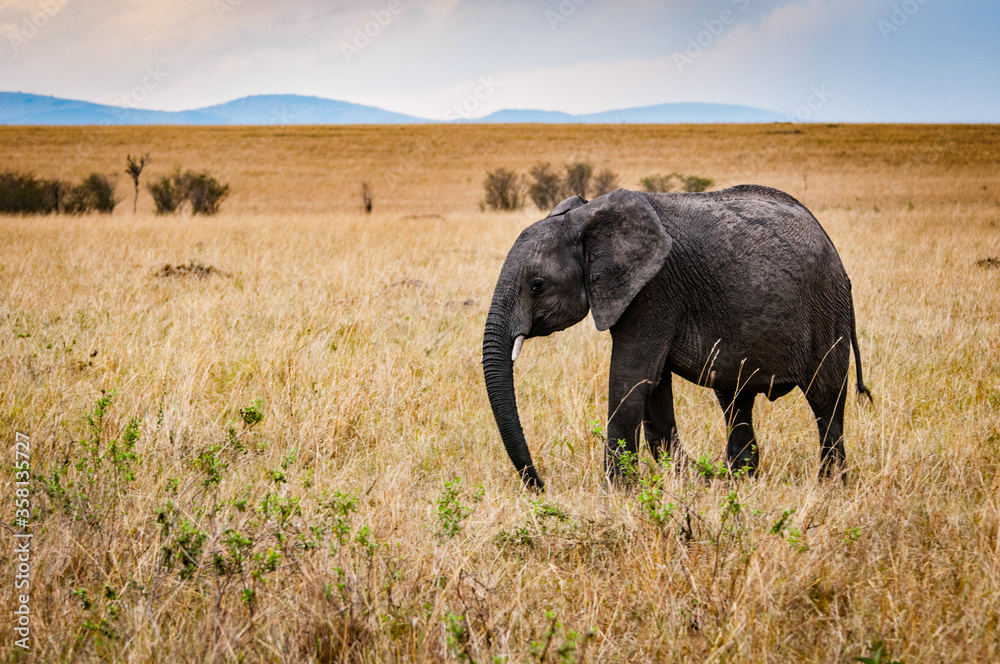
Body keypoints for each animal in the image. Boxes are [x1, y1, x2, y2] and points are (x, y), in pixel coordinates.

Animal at [482, 185, 871, 490]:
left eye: (537, 285)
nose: (541, 485)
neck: (587, 218)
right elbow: (653, 383)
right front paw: (678, 482)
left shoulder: (655, 288)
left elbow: (631, 375)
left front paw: (618, 492)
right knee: (735, 401)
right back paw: (738, 481)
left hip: (827, 310)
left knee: (826, 401)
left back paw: (829, 486)